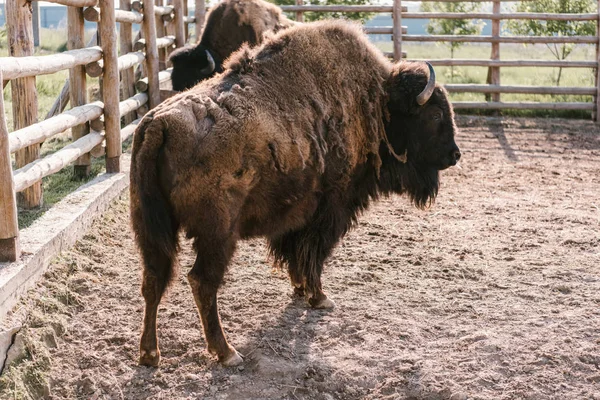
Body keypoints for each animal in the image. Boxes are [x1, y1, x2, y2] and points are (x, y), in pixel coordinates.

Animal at [130, 20, 460, 368]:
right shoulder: (331, 209)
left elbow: (295, 254)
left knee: (153, 279)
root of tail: (159, 124)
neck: (376, 102)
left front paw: (300, 290)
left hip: (150, 228)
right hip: (218, 234)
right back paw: (227, 352)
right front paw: (319, 297)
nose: (455, 155)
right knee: (202, 282)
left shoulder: (295, 215)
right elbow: (313, 254)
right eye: (435, 115)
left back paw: (150, 354)